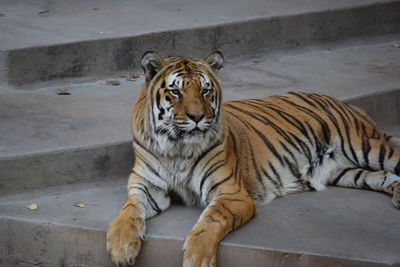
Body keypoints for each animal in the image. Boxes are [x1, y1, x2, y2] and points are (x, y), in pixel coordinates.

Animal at [105, 51, 400, 266]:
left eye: (205, 90)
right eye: (176, 92)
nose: (197, 117)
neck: (177, 148)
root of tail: (351, 105)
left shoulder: (231, 194)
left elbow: (209, 222)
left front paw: (197, 258)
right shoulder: (146, 187)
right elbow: (127, 212)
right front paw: (121, 246)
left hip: (364, 147)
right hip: (345, 171)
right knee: (385, 176)